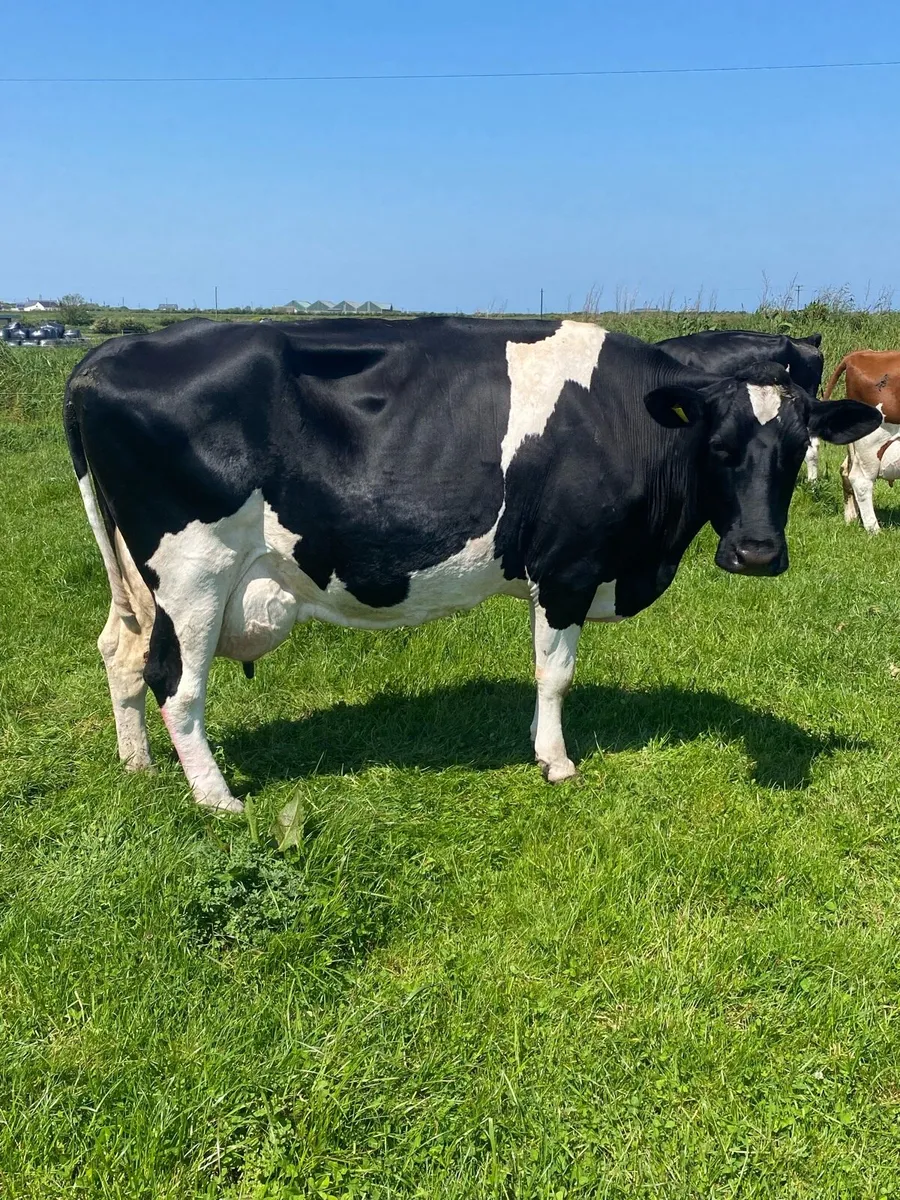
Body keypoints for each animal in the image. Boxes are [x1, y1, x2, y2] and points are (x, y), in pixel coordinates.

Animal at [822, 350, 899, 533]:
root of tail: (858, 354)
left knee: (845, 470)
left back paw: (852, 518)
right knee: (860, 480)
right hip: (872, 441)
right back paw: (874, 530)